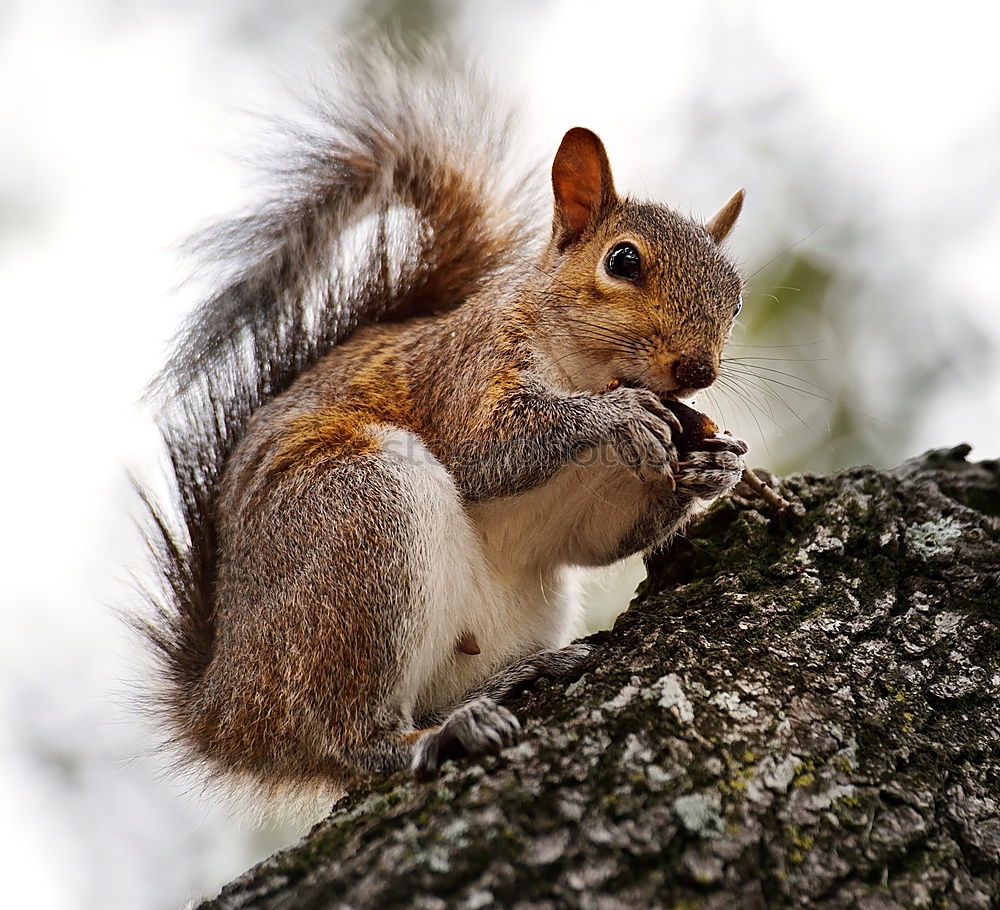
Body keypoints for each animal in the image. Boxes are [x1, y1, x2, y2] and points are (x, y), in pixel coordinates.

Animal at [139, 46, 752, 808]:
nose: (698, 369)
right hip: (356, 527)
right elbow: (485, 451)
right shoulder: (466, 373)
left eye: (736, 297)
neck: (585, 369)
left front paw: (716, 467)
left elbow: (594, 537)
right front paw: (615, 417)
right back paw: (432, 737)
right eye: (623, 260)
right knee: (347, 738)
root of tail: (225, 709)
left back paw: (513, 678)